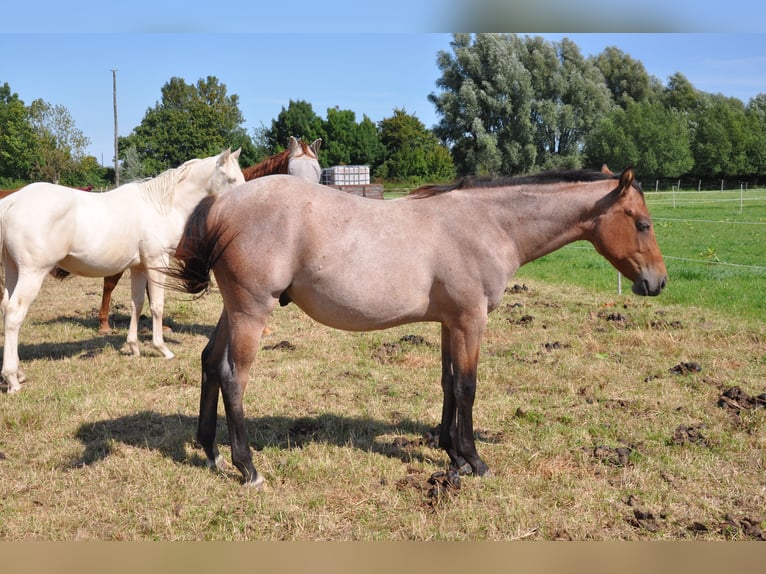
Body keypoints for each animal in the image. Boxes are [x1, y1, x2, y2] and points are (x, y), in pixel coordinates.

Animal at [0, 148, 244, 394]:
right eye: (231, 179)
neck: (161, 207)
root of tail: (13, 200)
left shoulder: (138, 267)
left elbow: (137, 304)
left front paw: (134, 347)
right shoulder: (157, 262)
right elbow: (157, 306)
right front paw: (162, 349)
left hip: (13, 271)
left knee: (5, 307)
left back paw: (19, 373)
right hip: (32, 273)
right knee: (14, 313)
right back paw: (11, 378)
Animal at [167, 167, 667, 488]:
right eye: (643, 223)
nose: (657, 283)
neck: (490, 223)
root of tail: (222, 202)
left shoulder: (451, 322)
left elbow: (448, 383)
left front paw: (451, 453)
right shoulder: (471, 320)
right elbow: (467, 387)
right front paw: (474, 460)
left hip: (233, 311)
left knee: (210, 362)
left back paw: (211, 453)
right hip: (252, 312)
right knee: (233, 377)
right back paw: (248, 468)